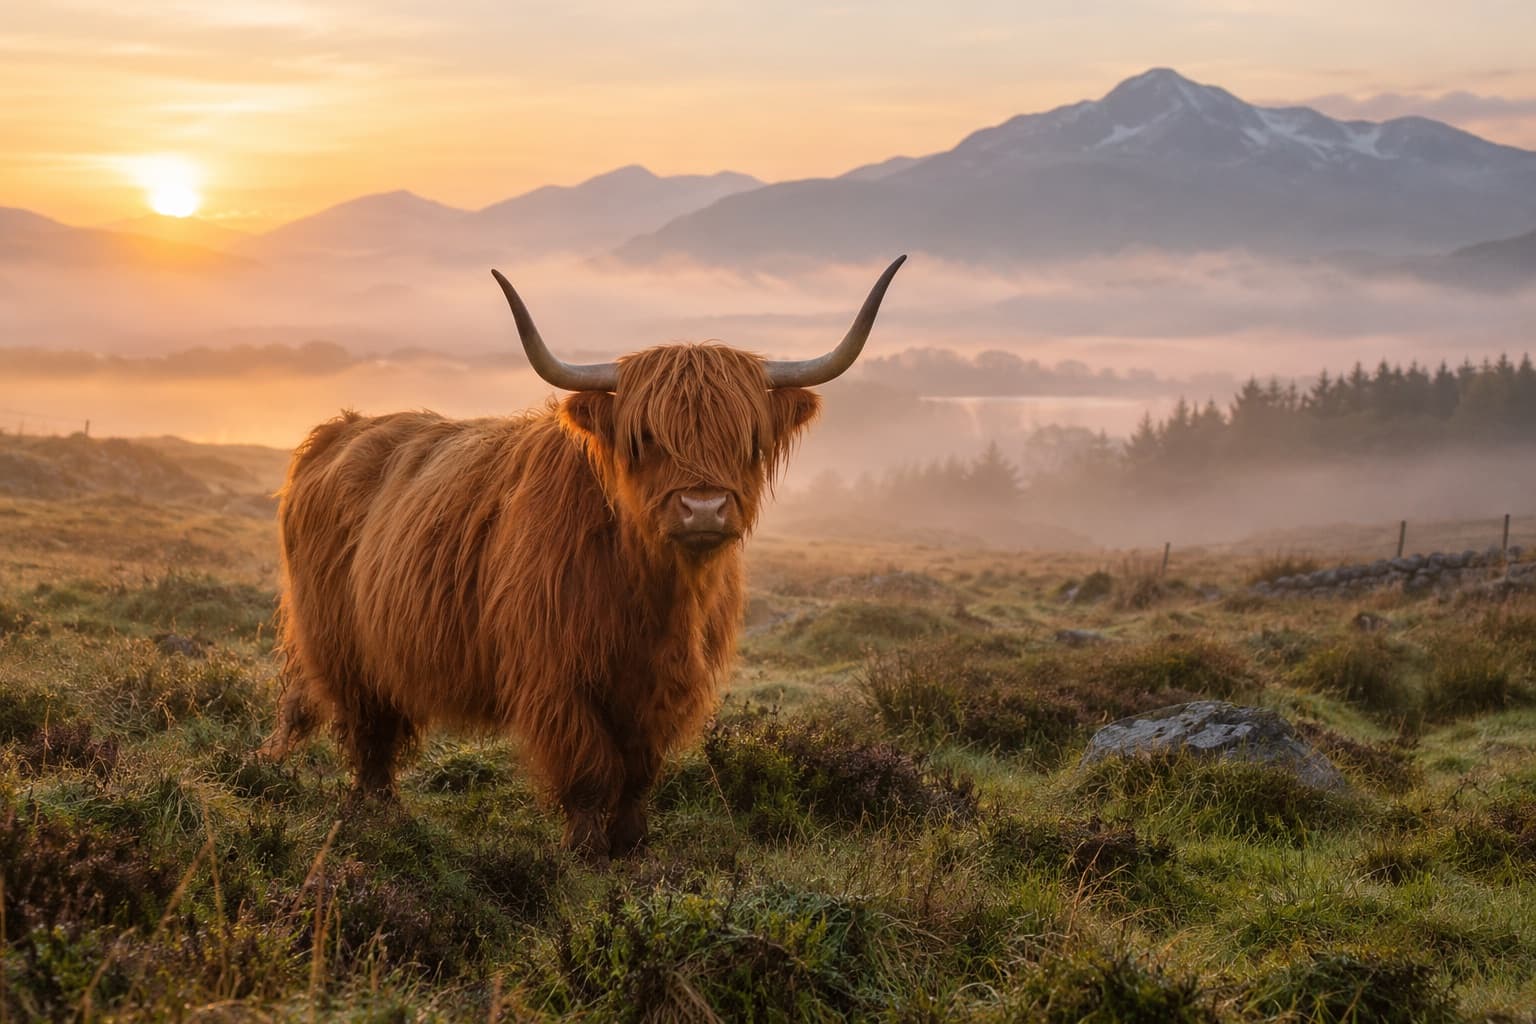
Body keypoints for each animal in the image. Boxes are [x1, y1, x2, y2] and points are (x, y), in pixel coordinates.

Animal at [261, 256, 905, 858]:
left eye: (747, 438)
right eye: (645, 438)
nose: (703, 508)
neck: (654, 596)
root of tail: (339, 431)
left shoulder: (663, 687)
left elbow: (640, 768)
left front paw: (633, 841)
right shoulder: (556, 674)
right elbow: (590, 767)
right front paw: (588, 849)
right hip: (341, 645)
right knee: (369, 732)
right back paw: (380, 816)